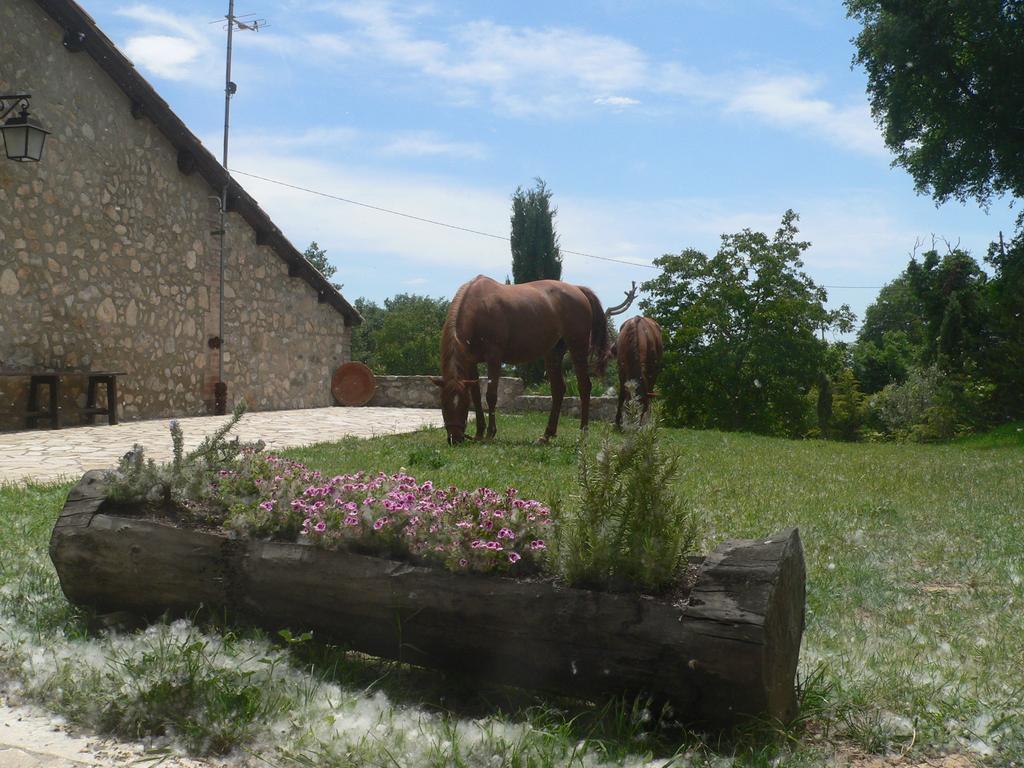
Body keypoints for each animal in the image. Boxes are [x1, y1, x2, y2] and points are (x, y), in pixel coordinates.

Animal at [434, 276, 606, 444]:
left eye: (463, 404)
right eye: (443, 404)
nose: (455, 439)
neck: (479, 308)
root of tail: (578, 289)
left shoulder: (494, 358)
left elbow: (491, 396)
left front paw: (490, 433)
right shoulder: (471, 362)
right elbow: (476, 396)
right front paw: (478, 433)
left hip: (578, 348)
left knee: (584, 387)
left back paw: (582, 435)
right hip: (553, 353)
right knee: (558, 390)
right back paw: (546, 435)